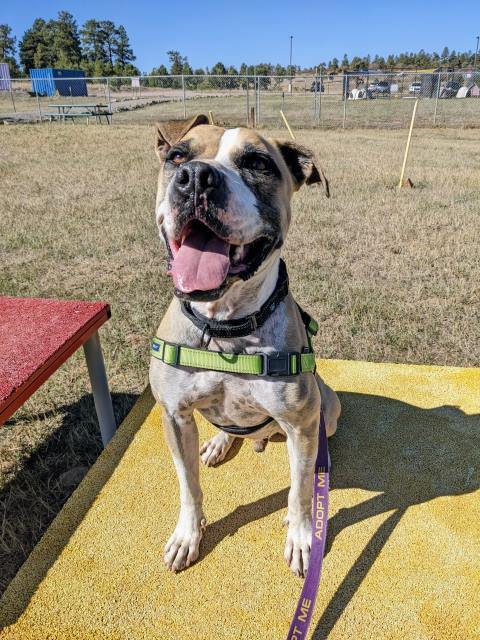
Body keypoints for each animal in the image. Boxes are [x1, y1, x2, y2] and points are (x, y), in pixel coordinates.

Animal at [150, 116, 342, 580]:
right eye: (177, 156)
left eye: (257, 163)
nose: (196, 177)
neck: (225, 326)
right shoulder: (174, 416)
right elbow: (188, 486)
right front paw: (188, 535)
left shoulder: (301, 425)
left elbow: (300, 492)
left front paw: (302, 538)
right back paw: (220, 443)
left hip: (327, 411)